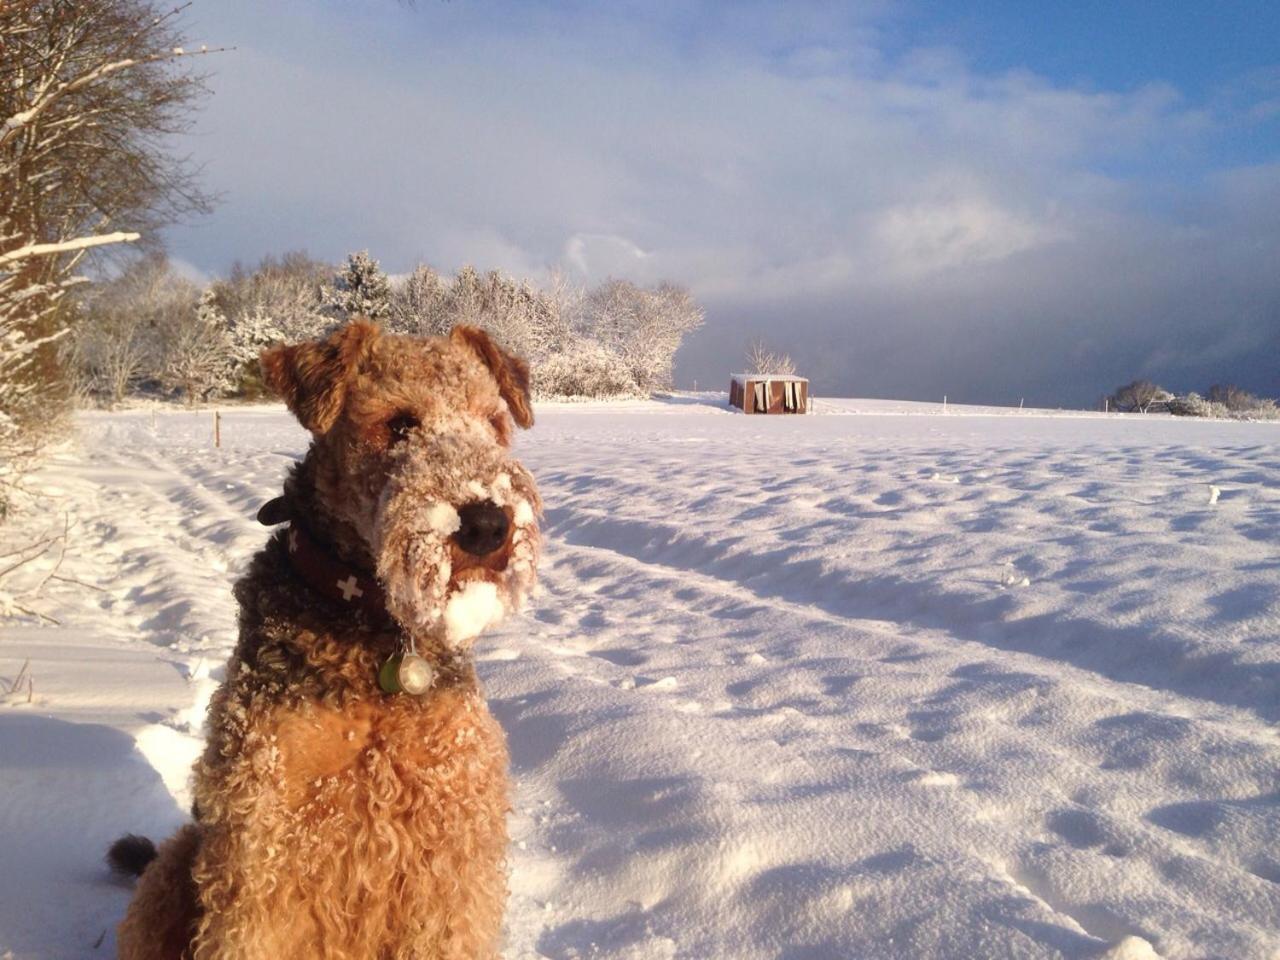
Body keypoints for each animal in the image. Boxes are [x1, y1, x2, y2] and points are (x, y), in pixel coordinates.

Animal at [111, 323, 545, 960]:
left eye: (493, 422)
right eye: (398, 423)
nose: (488, 524)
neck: (376, 635)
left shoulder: (451, 845)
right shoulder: (264, 846)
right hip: (172, 871)